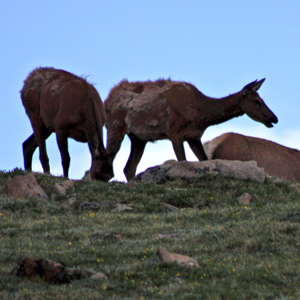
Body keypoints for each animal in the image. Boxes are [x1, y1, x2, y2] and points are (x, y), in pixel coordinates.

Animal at [104, 78, 278, 180]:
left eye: (262, 99)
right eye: (256, 101)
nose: (274, 118)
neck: (200, 116)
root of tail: (106, 100)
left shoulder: (194, 136)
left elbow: (204, 160)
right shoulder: (174, 132)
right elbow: (182, 161)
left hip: (139, 138)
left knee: (129, 168)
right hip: (115, 127)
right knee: (108, 157)